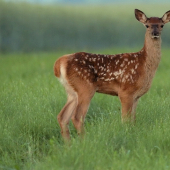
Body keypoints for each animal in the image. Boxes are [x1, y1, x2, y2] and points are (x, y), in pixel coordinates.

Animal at [53, 9, 170, 141]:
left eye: (162, 25)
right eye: (147, 25)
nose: (155, 33)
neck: (144, 64)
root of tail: (60, 62)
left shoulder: (136, 96)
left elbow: (133, 120)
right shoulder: (125, 91)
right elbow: (125, 120)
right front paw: (126, 135)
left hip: (71, 91)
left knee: (62, 117)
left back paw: (69, 144)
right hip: (85, 87)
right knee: (77, 117)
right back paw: (84, 141)